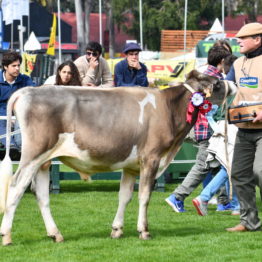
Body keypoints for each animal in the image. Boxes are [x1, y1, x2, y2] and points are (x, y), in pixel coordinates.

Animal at [0, 70, 237, 246]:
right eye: (217, 84)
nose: (234, 85)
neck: (168, 109)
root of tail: (29, 90)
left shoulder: (131, 166)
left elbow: (124, 196)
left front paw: (117, 229)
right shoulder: (151, 158)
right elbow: (144, 196)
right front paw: (144, 230)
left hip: (44, 161)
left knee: (41, 194)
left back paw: (55, 234)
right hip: (33, 155)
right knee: (16, 187)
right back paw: (7, 235)